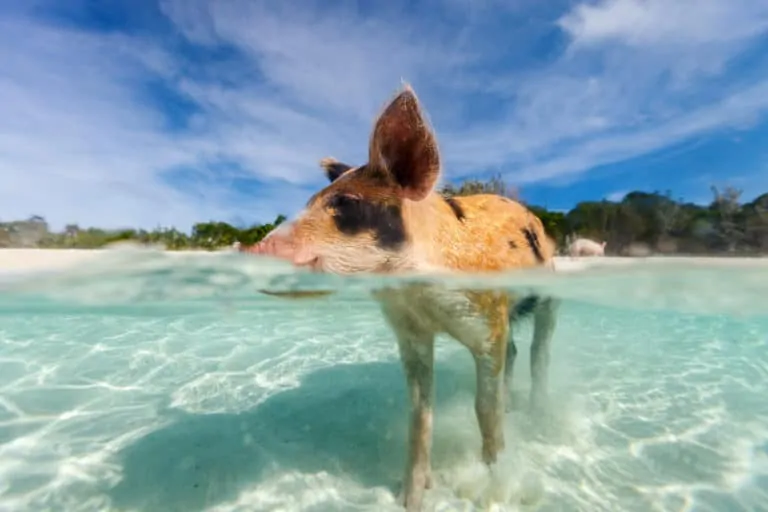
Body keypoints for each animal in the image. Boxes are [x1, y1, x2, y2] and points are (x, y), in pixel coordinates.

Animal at [243, 85, 560, 512]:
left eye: (345, 204)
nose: (249, 250)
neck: (415, 294)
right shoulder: (410, 332)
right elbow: (420, 414)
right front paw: (410, 500)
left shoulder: (486, 316)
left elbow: (484, 409)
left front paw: (493, 489)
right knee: (513, 351)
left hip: (549, 292)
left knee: (538, 352)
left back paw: (538, 417)